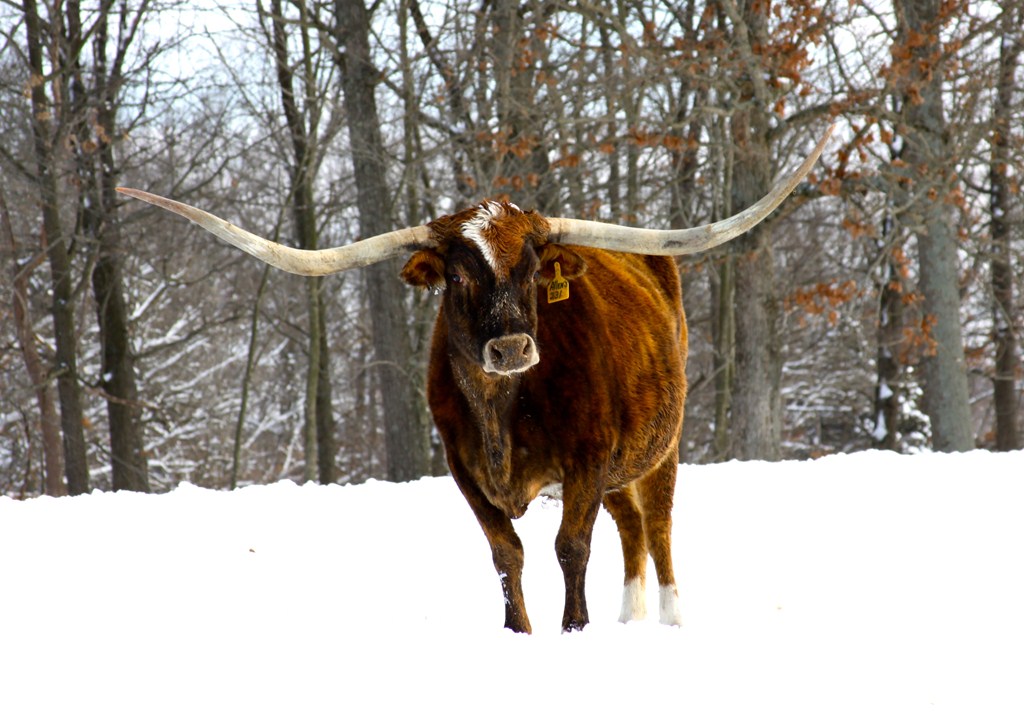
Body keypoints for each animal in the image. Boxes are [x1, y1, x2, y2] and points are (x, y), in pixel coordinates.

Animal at [118, 127, 830, 632]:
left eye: (534, 268)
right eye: (459, 273)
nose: (513, 346)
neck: (500, 412)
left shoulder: (586, 461)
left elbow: (571, 547)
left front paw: (575, 629)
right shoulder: (464, 471)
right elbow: (506, 553)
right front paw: (521, 633)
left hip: (661, 448)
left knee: (656, 526)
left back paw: (670, 618)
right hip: (621, 466)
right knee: (630, 527)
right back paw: (629, 617)